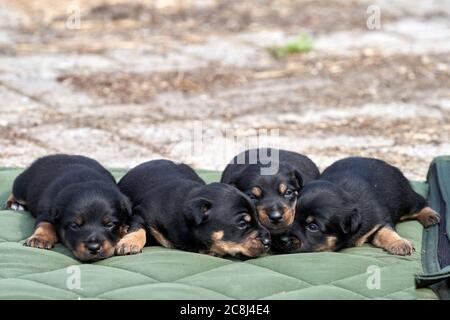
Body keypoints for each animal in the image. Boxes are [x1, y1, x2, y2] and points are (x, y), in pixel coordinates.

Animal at [272, 156, 442, 256]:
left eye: (312, 227)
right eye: (291, 215)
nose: (280, 239)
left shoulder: (378, 222)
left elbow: (387, 232)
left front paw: (399, 243)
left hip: (405, 197)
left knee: (419, 202)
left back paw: (430, 215)